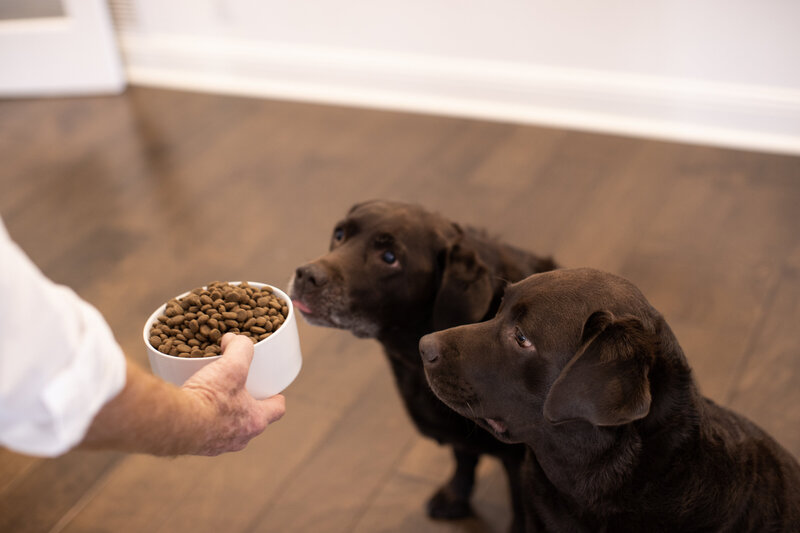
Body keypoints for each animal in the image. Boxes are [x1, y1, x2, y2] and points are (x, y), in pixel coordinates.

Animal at [288, 200, 556, 528]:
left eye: (389, 258)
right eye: (340, 234)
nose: (306, 275)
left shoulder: (520, 464)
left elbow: (520, 510)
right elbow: (463, 458)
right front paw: (455, 498)